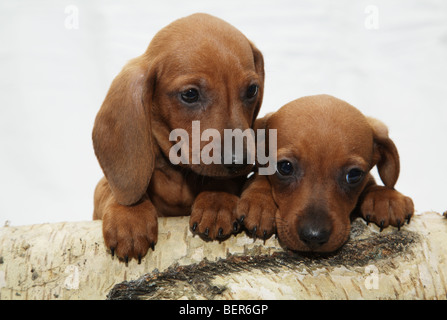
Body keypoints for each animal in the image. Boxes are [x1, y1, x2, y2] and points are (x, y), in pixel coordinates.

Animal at [92, 13, 264, 262]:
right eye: (190, 94)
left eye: (252, 90)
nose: (239, 161)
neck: (178, 172)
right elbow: (115, 189)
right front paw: (129, 214)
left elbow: (223, 178)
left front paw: (216, 198)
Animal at [240, 94, 414, 252]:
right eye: (285, 167)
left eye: (354, 175)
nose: (313, 237)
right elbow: (260, 176)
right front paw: (261, 202)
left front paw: (386, 197)